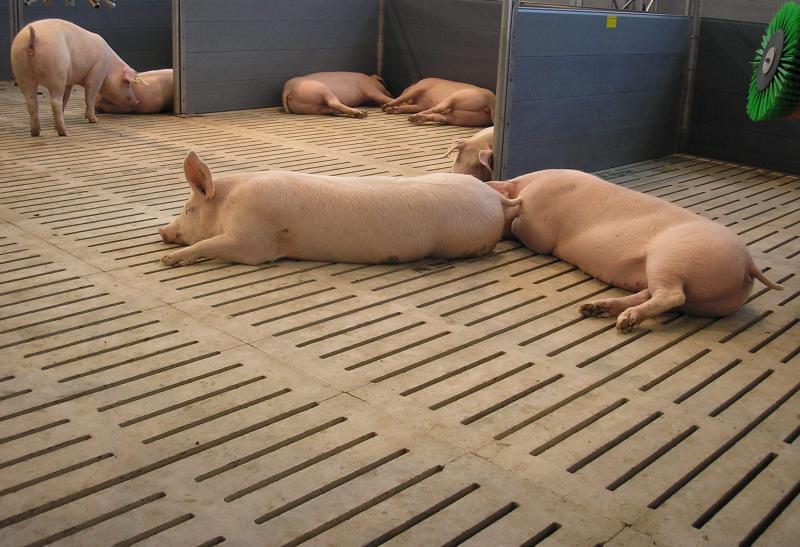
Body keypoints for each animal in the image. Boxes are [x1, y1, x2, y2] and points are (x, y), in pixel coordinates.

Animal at [9, 20, 142, 138]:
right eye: (127, 84)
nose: (137, 101)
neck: (109, 67)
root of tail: (33, 37)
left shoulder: (69, 82)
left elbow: (66, 98)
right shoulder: (96, 75)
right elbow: (90, 97)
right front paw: (94, 120)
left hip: (22, 71)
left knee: (31, 102)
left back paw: (35, 132)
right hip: (56, 72)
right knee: (55, 102)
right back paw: (63, 132)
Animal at [159, 152, 520, 268]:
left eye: (188, 209)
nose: (162, 231)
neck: (228, 204)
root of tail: (495, 200)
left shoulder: (254, 241)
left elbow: (212, 243)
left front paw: (169, 261)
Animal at [490, 171, 780, 334]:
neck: (524, 186)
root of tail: (748, 264)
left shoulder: (541, 226)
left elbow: (526, 231)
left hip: (670, 260)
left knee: (672, 295)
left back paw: (623, 323)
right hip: (698, 297)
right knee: (657, 295)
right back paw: (594, 309)